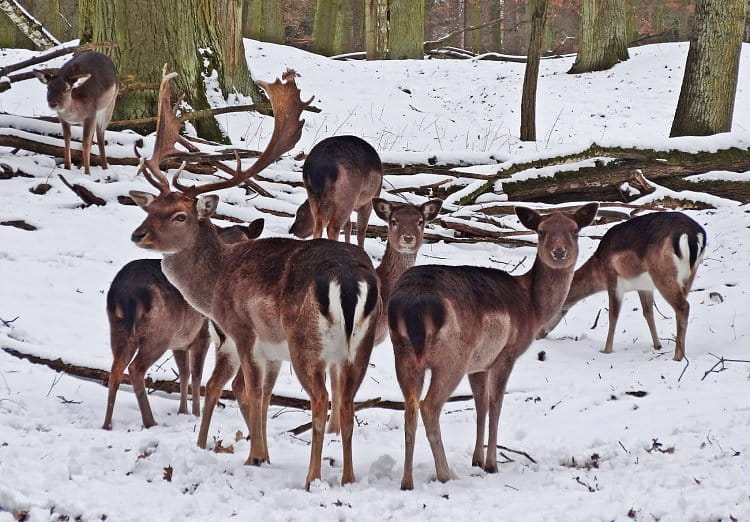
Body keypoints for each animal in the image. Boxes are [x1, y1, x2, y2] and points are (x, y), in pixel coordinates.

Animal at [129, 66, 382, 488]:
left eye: (179, 215)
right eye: (151, 208)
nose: (138, 234)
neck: (215, 283)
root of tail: (348, 281)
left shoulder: (244, 331)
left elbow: (249, 392)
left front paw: (256, 456)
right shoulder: (270, 349)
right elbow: (259, 395)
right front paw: (261, 453)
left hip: (305, 342)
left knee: (320, 400)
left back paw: (311, 478)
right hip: (358, 348)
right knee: (346, 404)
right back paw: (346, 477)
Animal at [388, 200, 600, 488]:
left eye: (575, 230)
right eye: (541, 231)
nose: (559, 252)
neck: (532, 308)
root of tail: (411, 308)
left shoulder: (479, 364)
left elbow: (481, 404)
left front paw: (477, 459)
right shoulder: (506, 355)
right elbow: (496, 404)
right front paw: (491, 464)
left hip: (404, 355)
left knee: (410, 406)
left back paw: (407, 481)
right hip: (452, 357)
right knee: (429, 406)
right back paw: (445, 474)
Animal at [540, 209, 704, 360]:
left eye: (553, 311)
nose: (539, 334)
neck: (599, 269)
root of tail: (692, 235)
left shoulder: (613, 279)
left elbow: (613, 315)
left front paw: (606, 350)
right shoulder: (644, 286)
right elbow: (648, 313)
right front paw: (657, 345)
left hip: (662, 272)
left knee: (683, 306)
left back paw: (677, 356)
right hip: (689, 275)